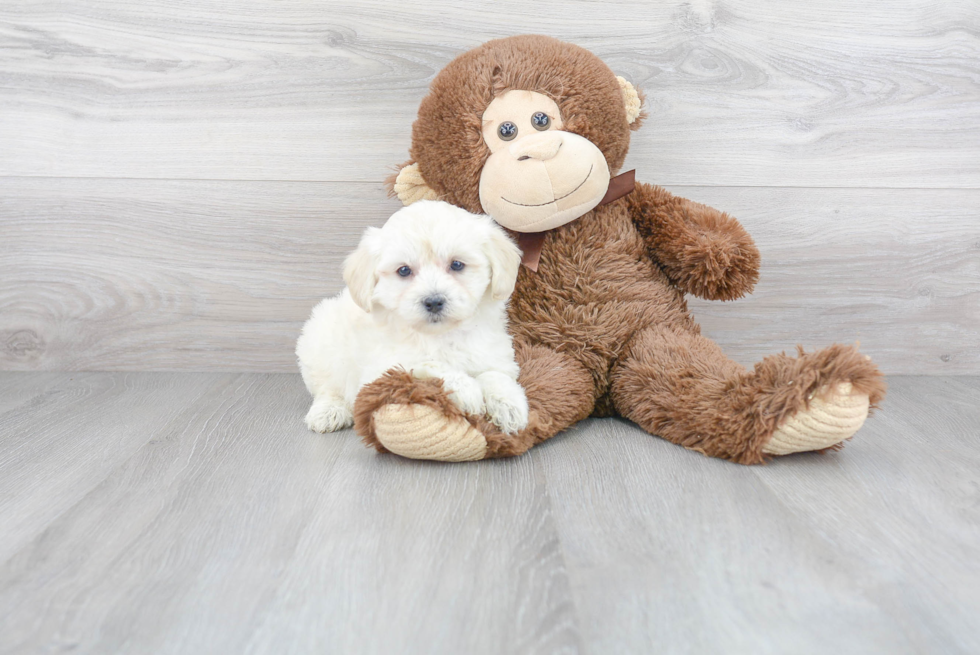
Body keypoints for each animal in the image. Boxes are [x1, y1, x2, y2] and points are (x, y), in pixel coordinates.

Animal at [296, 200, 528, 436]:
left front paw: (509, 406)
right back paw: (329, 411)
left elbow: (495, 375)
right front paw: (466, 390)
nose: (433, 301)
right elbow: (430, 365)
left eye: (456, 265)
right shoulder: (384, 368)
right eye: (404, 270)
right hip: (320, 344)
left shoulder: (492, 353)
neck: (441, 335)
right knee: (327, 387)